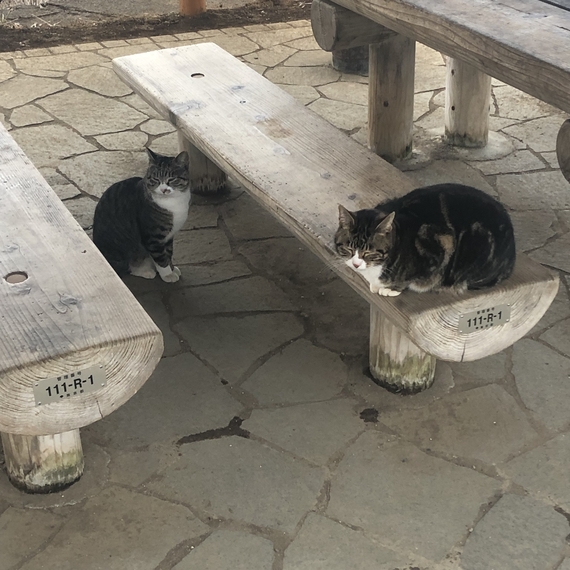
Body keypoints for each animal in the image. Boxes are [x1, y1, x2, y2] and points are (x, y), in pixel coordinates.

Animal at [93, 148, 191, 283]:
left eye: (171, 179)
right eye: (155, 179)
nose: (164, 190)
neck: (174, 203)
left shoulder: (169, 236)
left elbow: (169, 253)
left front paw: (171, 268)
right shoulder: (153, 237)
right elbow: (161, 258)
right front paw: (167, 274)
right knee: (125, 268)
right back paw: (145, 271)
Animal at [335, 183, 516, 296]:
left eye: (369, 252)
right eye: (349, 249)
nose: (355, 264)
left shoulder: (441, 247)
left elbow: (409, 278)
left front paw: (391, 289)